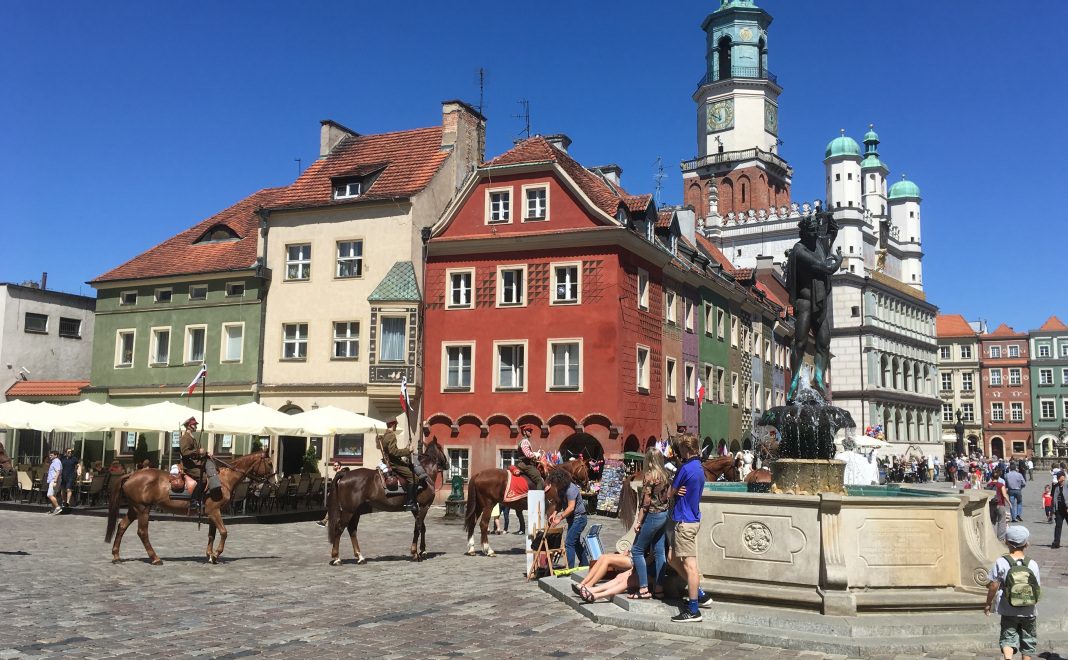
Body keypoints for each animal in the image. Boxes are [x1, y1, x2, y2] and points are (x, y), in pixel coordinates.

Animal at [104, 450, 273, 563]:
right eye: (270, 463)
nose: (275, 481)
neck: (223, 480)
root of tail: (132, 474)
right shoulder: (215, 511)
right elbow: (224, 532)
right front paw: (216, 554)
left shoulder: (212, 513)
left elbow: (212, 534)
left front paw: (210, 555)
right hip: (143, 509)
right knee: (142, 532)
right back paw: (155, 558)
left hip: (134, 508)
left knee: (122, 526)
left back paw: (116, 556)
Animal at [320, 433, 446, 563]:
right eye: (440, 447)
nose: (446, 464)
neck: (424, 474)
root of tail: (345, 474)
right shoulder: (424, 506)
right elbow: (418, 527)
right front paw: (415, 553)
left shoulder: (415, 508)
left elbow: (422, 527)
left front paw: (422, 550)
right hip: (348, 511)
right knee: (339, 528)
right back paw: (337, 557)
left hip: (356, 511)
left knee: (352, 530)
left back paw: (360, 556)